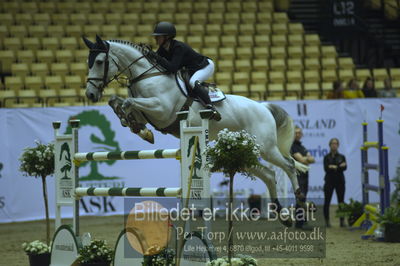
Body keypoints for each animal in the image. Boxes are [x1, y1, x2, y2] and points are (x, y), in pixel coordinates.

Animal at [83, 36, 308, 225]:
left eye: (100, 62)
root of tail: (263, 107)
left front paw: (136, 126)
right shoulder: (150, 112)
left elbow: (128, 102)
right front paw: (139, 129)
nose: (91, 94)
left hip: (266, 148)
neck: (147, 76)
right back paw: (282, 214)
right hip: (245, 152)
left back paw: (299, 202)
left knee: (289, 166)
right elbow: (119, 102)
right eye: (89, 62)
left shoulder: (161, 109)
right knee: (269, 174)